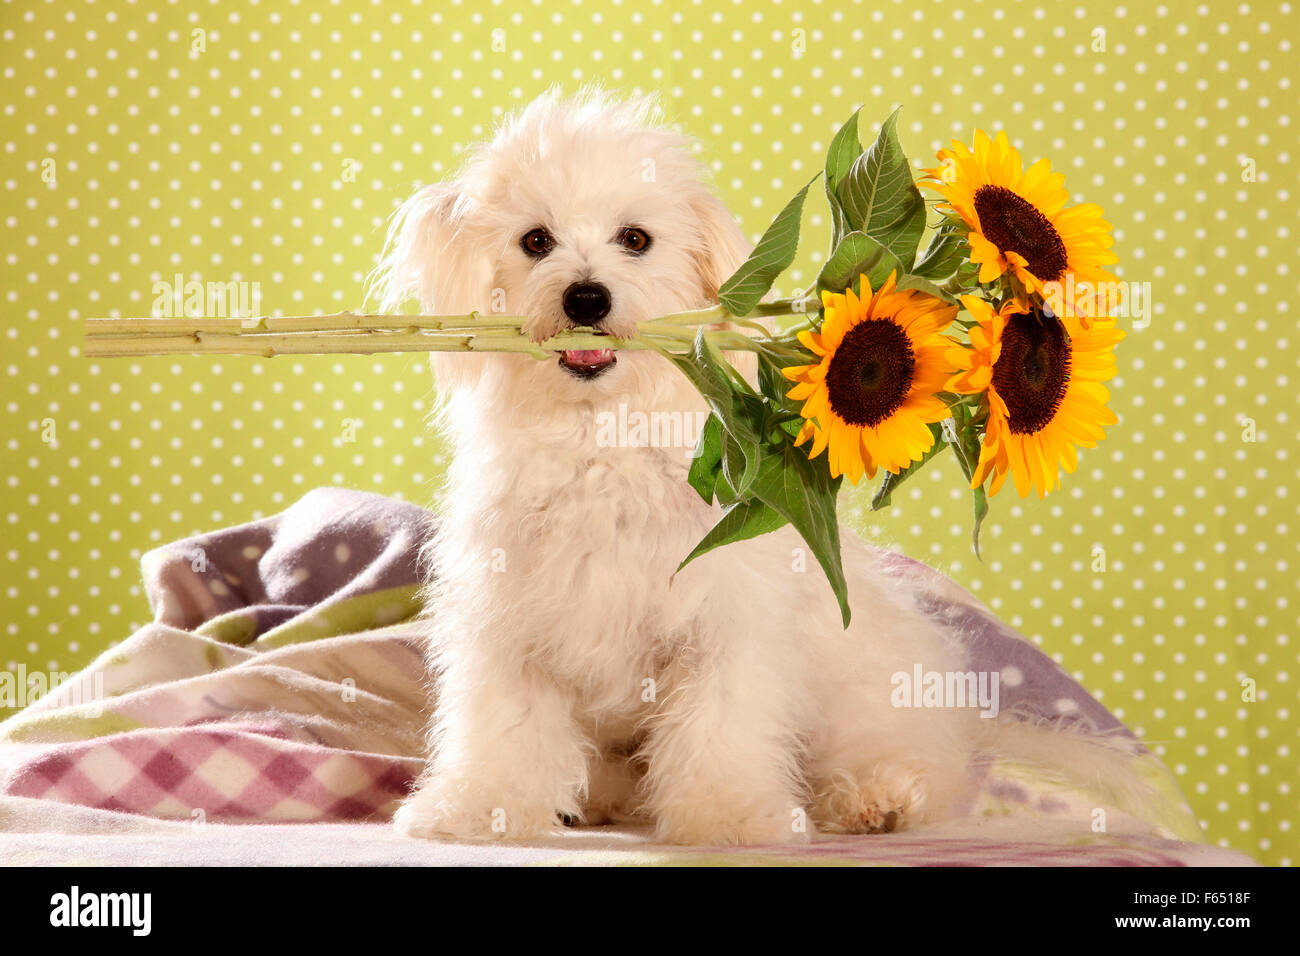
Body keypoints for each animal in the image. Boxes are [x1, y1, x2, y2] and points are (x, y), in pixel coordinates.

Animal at [371, 89, 1144, 842]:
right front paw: (480, 808)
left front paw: (732, 817)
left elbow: (720, 727)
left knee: (908, 762)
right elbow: (503, 728)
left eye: (635, 239)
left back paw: (876, 799)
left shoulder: (724, 624)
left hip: (861, 697)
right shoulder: (507, 624)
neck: (603, 442)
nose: (586, 296)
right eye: (535, 241)